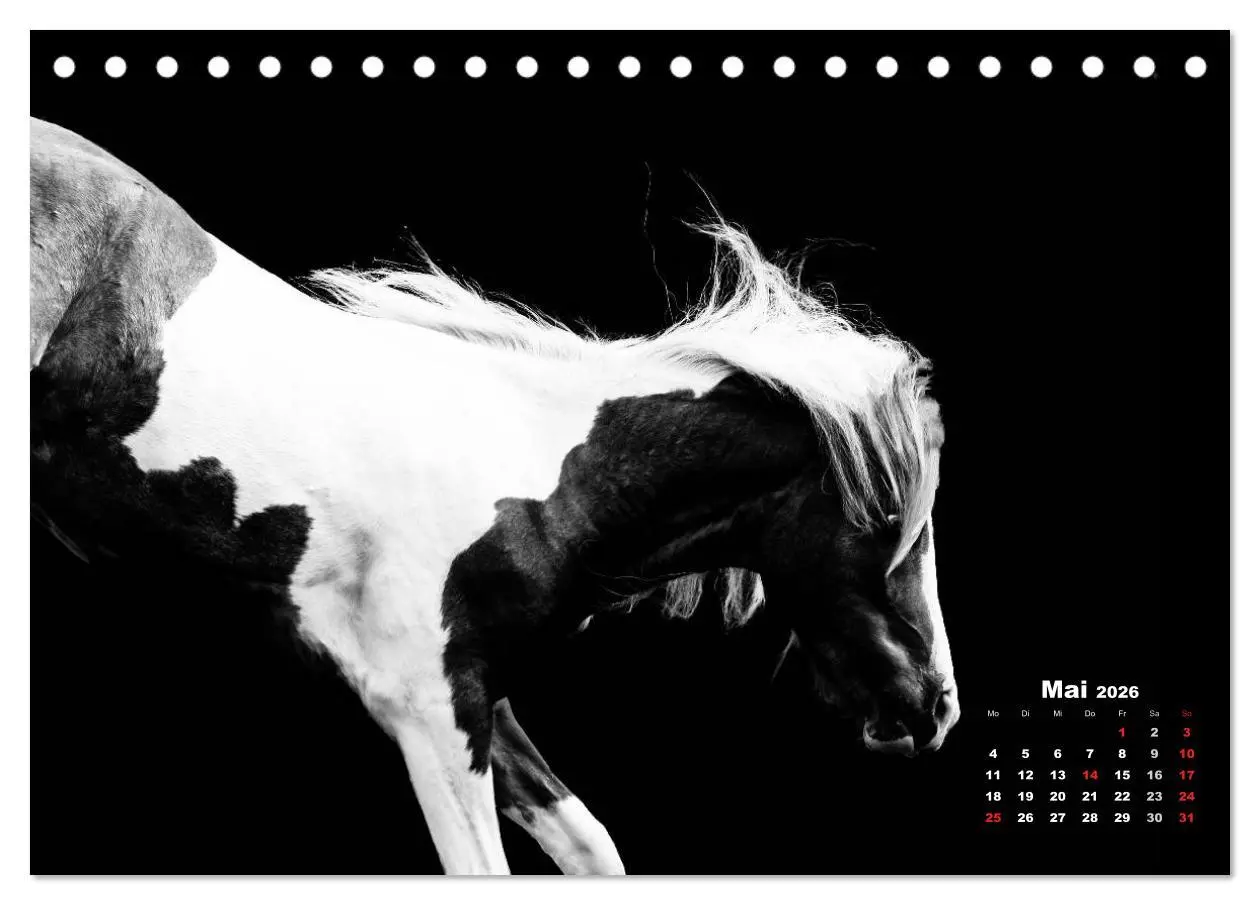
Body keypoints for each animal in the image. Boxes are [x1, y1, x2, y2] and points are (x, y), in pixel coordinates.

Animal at [30, 117, 960, 875]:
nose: (934, 708)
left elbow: (591, 845)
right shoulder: (427, 707)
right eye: (890, 521)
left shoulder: (481, 693)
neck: (539, 476)